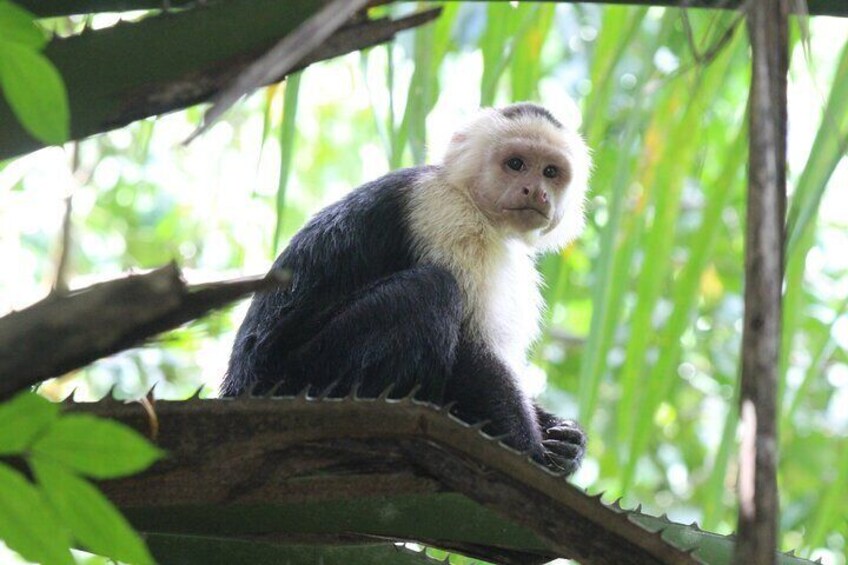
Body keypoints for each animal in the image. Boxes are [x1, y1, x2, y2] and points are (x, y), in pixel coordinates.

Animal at [227, 101, 596, 472]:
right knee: (430, 289)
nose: (536, 191)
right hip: (302, 377)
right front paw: (530, 454)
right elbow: (472, 353)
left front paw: (566, 440)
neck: (469, 198)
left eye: (551, 172)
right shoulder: (446, 214)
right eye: (516, 164)